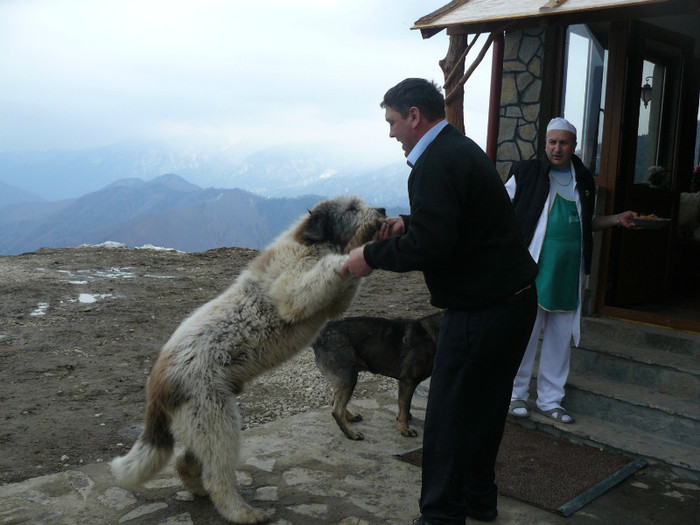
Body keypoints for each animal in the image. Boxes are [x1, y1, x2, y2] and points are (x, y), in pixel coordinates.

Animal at [109, 194, 386, 520]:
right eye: (352, 208)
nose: (382, 210)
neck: (312, 243)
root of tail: (157, 382)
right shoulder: (291, 285)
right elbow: (313, 280)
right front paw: (347, 258)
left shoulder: (333, 302)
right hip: (215, 416)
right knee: (217, 473)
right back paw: (241, 512)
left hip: (199, 422)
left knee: (189, 462)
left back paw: (198, 489)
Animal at [314, 312, 442, 438]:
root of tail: (319, 337)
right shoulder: (408, 381)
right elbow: (405, 408)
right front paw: (405, 430)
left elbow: (403, 406)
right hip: (348, 379)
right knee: (337, 411)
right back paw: (352, 434)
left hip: (344, 379)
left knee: (335, 401)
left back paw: (351, 417)